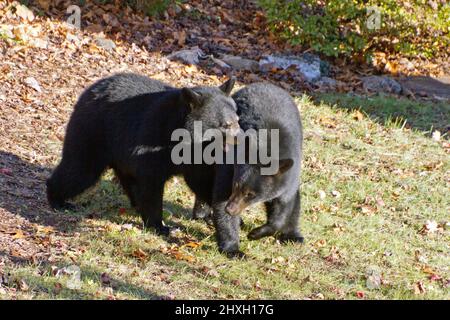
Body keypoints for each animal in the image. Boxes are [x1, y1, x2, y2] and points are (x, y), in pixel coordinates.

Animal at [46, 72, 239, 235]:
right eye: (225, 124)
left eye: (237, 120)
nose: (239, 138)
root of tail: (89, 91)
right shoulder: (152, 139)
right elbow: (151, 183)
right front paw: (160, 226)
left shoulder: (196, 157)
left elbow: (201, 181)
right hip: (93, 131)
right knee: (80, 170)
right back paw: (58, 199)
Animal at [192, 82, 302, 255]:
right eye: (236, 185)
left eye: (251, 194)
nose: (231, 209)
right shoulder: (230, 163)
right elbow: (220, 197)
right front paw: (233, 248)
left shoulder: (289, 176)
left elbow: (284, 205)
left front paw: (256, 233)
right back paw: (202, 213)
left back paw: (293, 235)